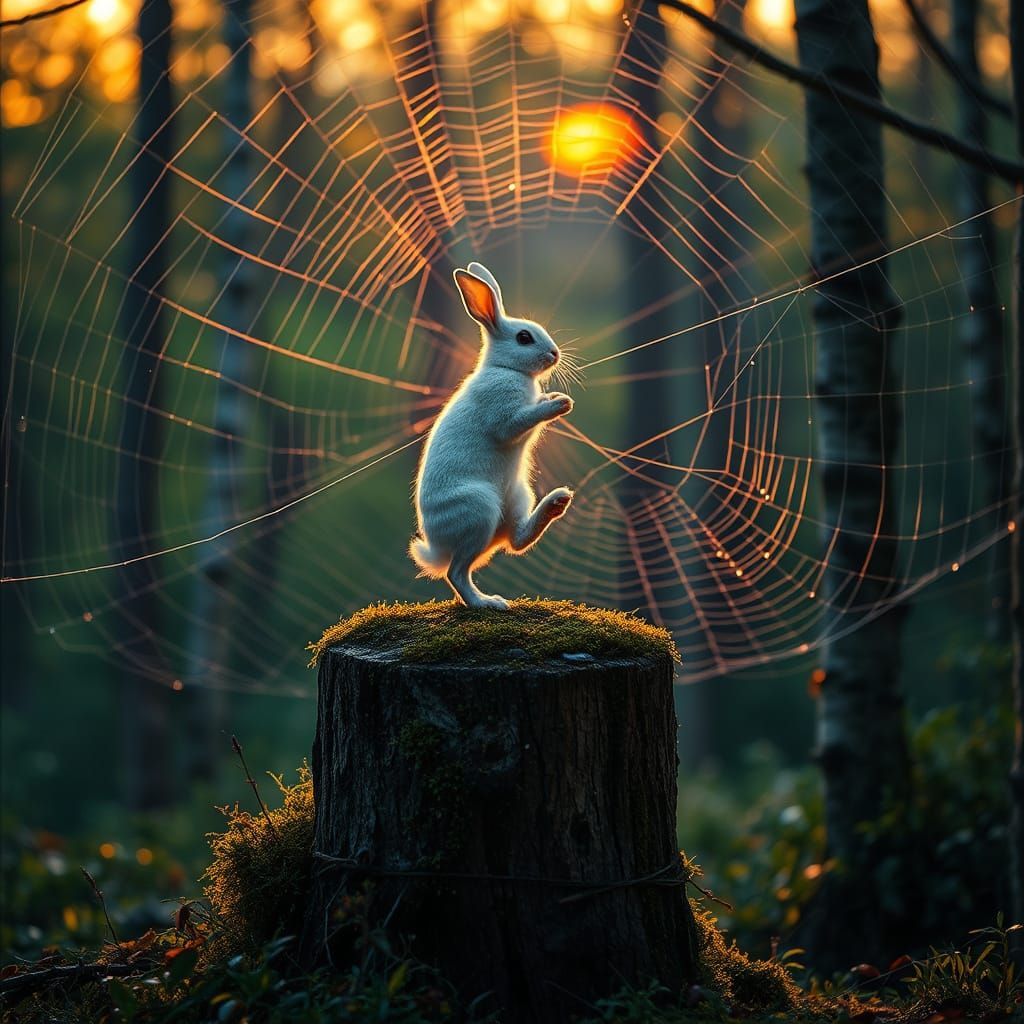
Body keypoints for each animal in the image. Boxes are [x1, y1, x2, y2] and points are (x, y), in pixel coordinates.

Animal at [409, 261, 575, 610]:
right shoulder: (506, 418)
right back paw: (488, 603)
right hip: (479, 510)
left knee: (516, 540)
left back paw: (558, 501)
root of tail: (436, 550)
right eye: (524, 338)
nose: (554, 354)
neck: (506, 369)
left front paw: (552, 397)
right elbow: (522, 420)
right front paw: (560, 403)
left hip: (517, 498)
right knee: (457, 573)